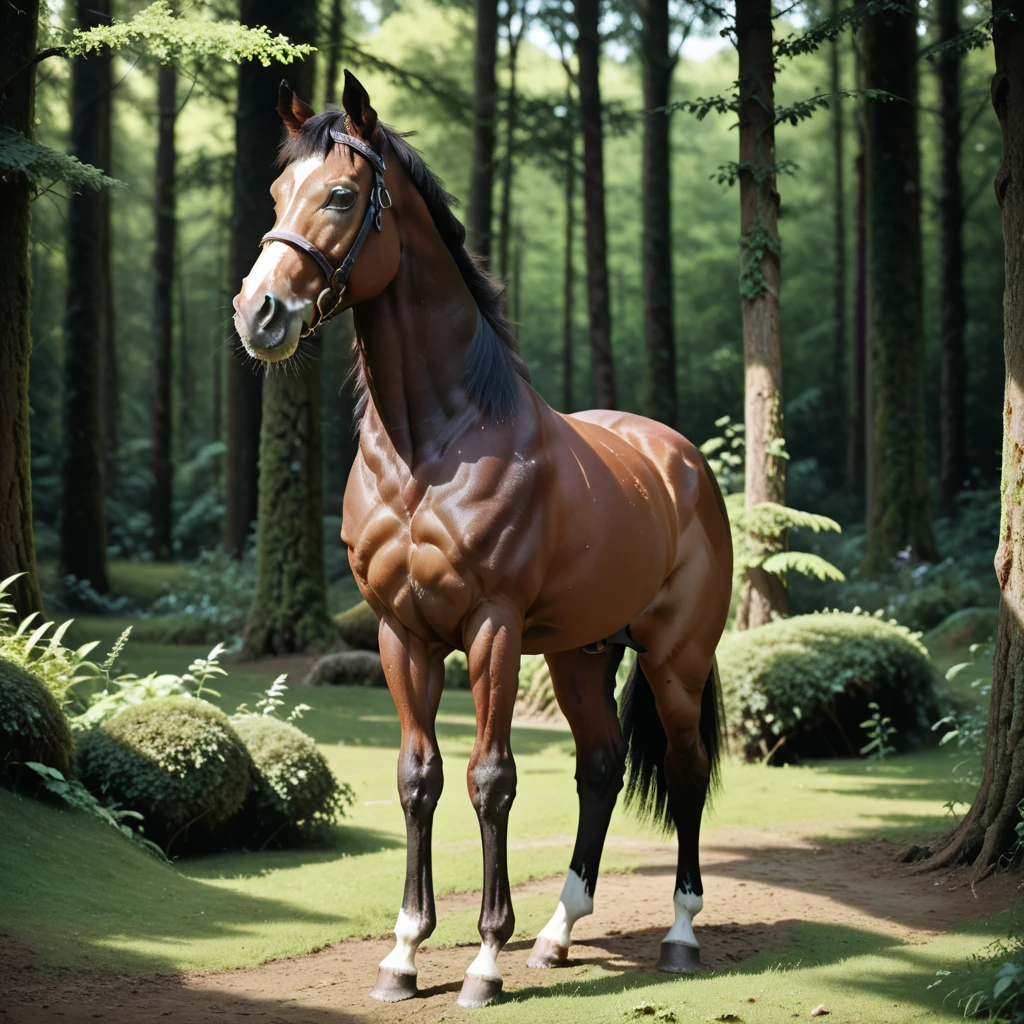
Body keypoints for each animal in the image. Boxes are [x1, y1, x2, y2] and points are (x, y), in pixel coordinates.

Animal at [232, 70, 733, 1007]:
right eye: (278, 193)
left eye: (342, 195)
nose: (259, 313)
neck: (433, 443)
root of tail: (682, 462)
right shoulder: (403, 633)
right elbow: (418, 777)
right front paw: (403, 952)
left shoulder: (491, 628)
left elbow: (490, 778)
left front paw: (483, 961)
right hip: (581, 654)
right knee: (600, 766)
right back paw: (560, 933)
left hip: (673, 659)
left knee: (683, 772)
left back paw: (679, 935)